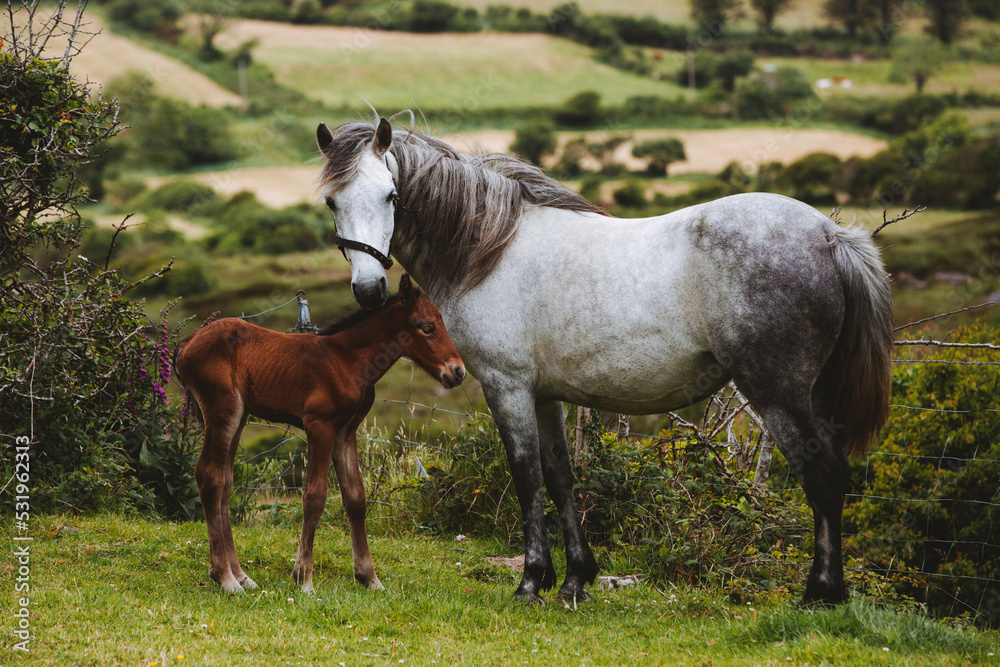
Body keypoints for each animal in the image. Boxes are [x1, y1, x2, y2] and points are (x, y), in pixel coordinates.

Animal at [174, 275, 466, 594]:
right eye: (427, 327)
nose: (458, 372)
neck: (348, 361)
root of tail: (188, 341)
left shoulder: (345, 432)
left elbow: (356, 498)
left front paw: (369, 578)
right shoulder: (319, 425)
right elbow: (314, 496)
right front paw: (304, 580)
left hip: (239, 417)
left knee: (225, 482)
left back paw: (241, 576)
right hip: (222, 410)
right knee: (210, 476)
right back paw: (225, 578)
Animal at [314, 117, 893, 606]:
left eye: (391, 195)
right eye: (331, 203)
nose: (369, 290)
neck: (489, 250)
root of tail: (829, 235)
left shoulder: (507, 387)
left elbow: (526, 476)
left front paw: (531, 582)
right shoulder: (544, 394)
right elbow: (560, 476)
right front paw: (574, 578)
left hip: (780, 394)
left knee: (822, 478)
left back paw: (820, 595)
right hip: (814, 397)